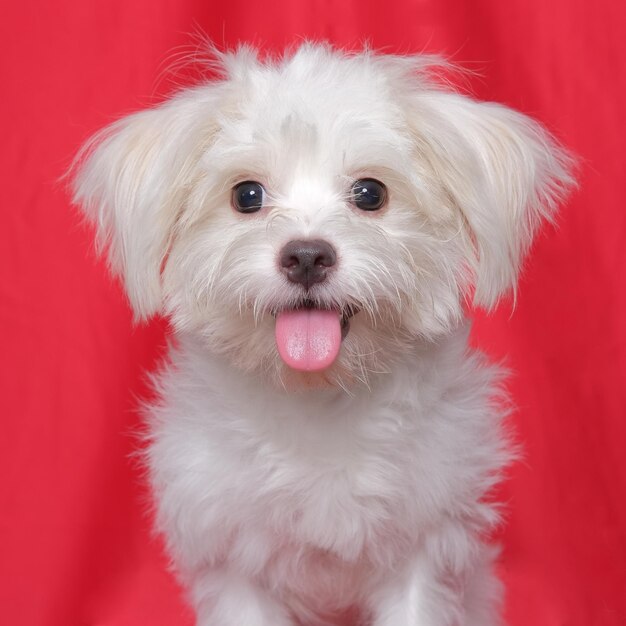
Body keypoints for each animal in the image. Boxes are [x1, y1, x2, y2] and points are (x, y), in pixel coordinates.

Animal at [72, 44, 572, 624]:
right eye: (246, 195)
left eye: (370, 193)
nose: (307, 255)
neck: (318, 399)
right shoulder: (235, 560)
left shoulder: (421, 550)